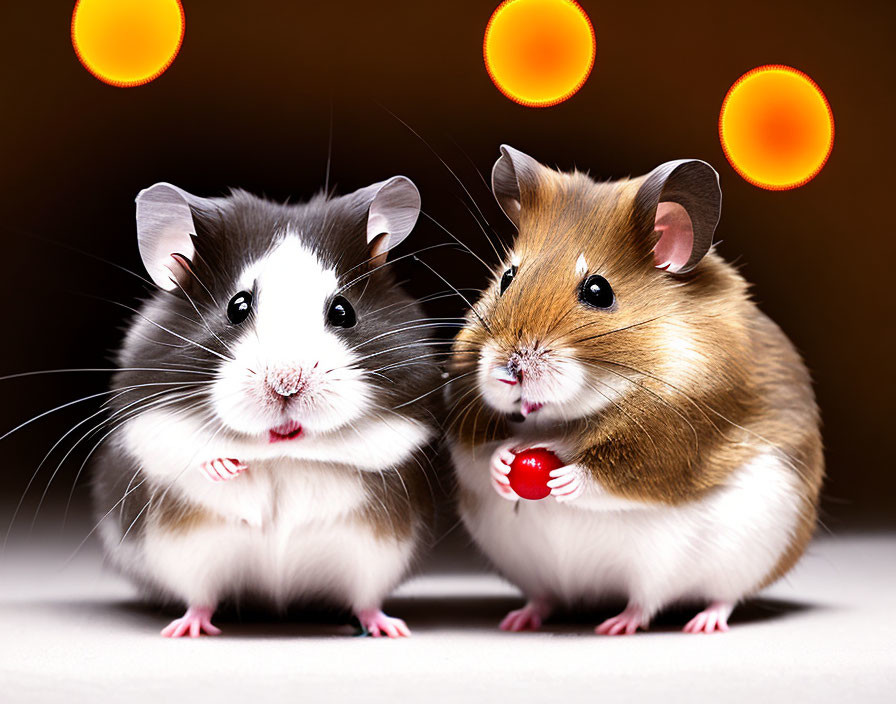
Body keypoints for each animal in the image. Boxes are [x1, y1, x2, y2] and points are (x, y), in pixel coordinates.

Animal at [444, 146, 824, 636]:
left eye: (598, 291)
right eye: (507, 277)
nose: (509, 372)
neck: (564, 418)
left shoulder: (672, 440)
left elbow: (612, 474)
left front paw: (562, 475)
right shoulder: (464, 426)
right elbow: (477, 457)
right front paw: (505, 462)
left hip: (740, 551)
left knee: (669, 600)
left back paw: (660, 623)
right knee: (549, 597)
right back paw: (520, 619)